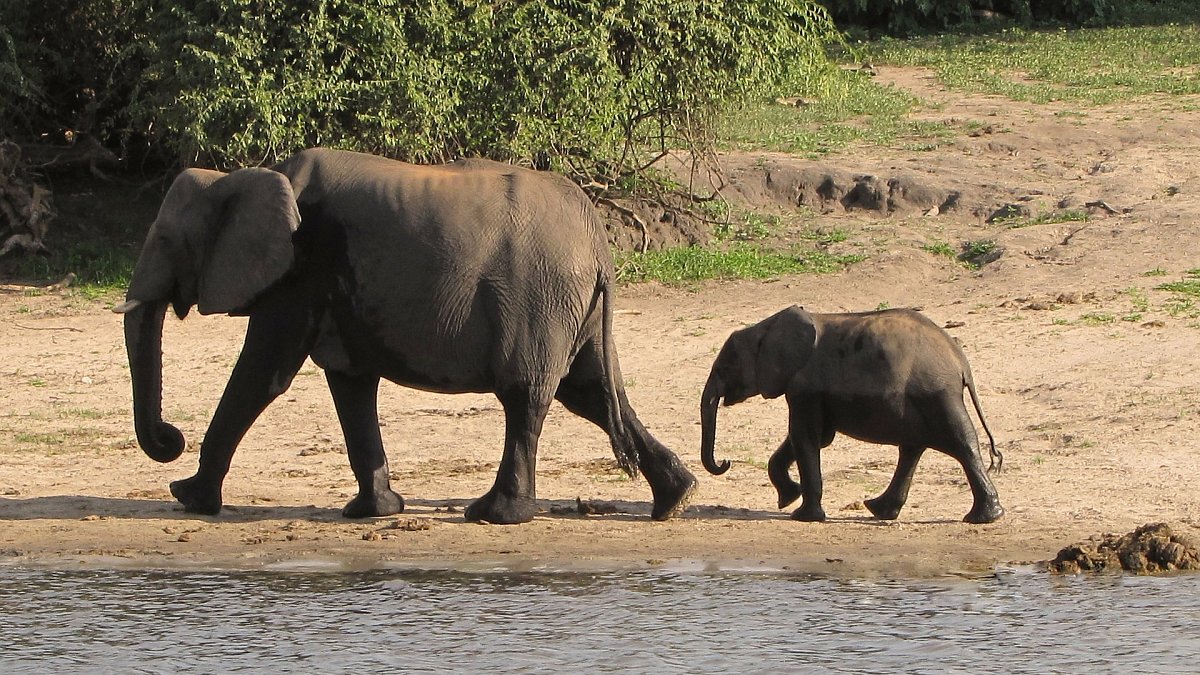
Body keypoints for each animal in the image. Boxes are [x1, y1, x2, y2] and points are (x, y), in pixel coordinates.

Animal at [117, 147, 700, 523]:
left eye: (165, 241)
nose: (170, 438)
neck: (239, 177)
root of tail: (599, 241)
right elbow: (350, 384)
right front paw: (370, 513)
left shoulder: (300, 270)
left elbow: (263, 373)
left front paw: (188, 498)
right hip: (571, 304)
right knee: (591, 392)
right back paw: (675, 501)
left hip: (540, 295)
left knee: (527, 396)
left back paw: (494, 516)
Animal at [700, 302, 1008, 523]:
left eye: (724, 368)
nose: (725, 461)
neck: (764, 327)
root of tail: (961, 362)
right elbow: (814, 437)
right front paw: (788, 499)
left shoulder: (804, 386)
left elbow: (804, 436)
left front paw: (802, 516)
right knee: (913, 449)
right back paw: (879, 510)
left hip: (936, 394)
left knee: (961, 443)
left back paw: (983, 518)